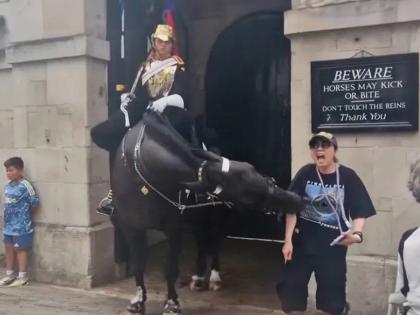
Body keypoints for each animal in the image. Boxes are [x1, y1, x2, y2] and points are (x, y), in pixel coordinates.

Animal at [110, 109, 304, 315]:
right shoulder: (130, 226)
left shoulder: (173, 227)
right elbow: (138, 264)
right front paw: (138, 301)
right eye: (250, 198)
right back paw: (197, 277)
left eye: (261, 176)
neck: (142, 167)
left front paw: (171, 303)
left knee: (213, 240)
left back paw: (214, 277)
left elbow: (170, 267)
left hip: (214, 215)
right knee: (202, 240)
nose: (296, 200)